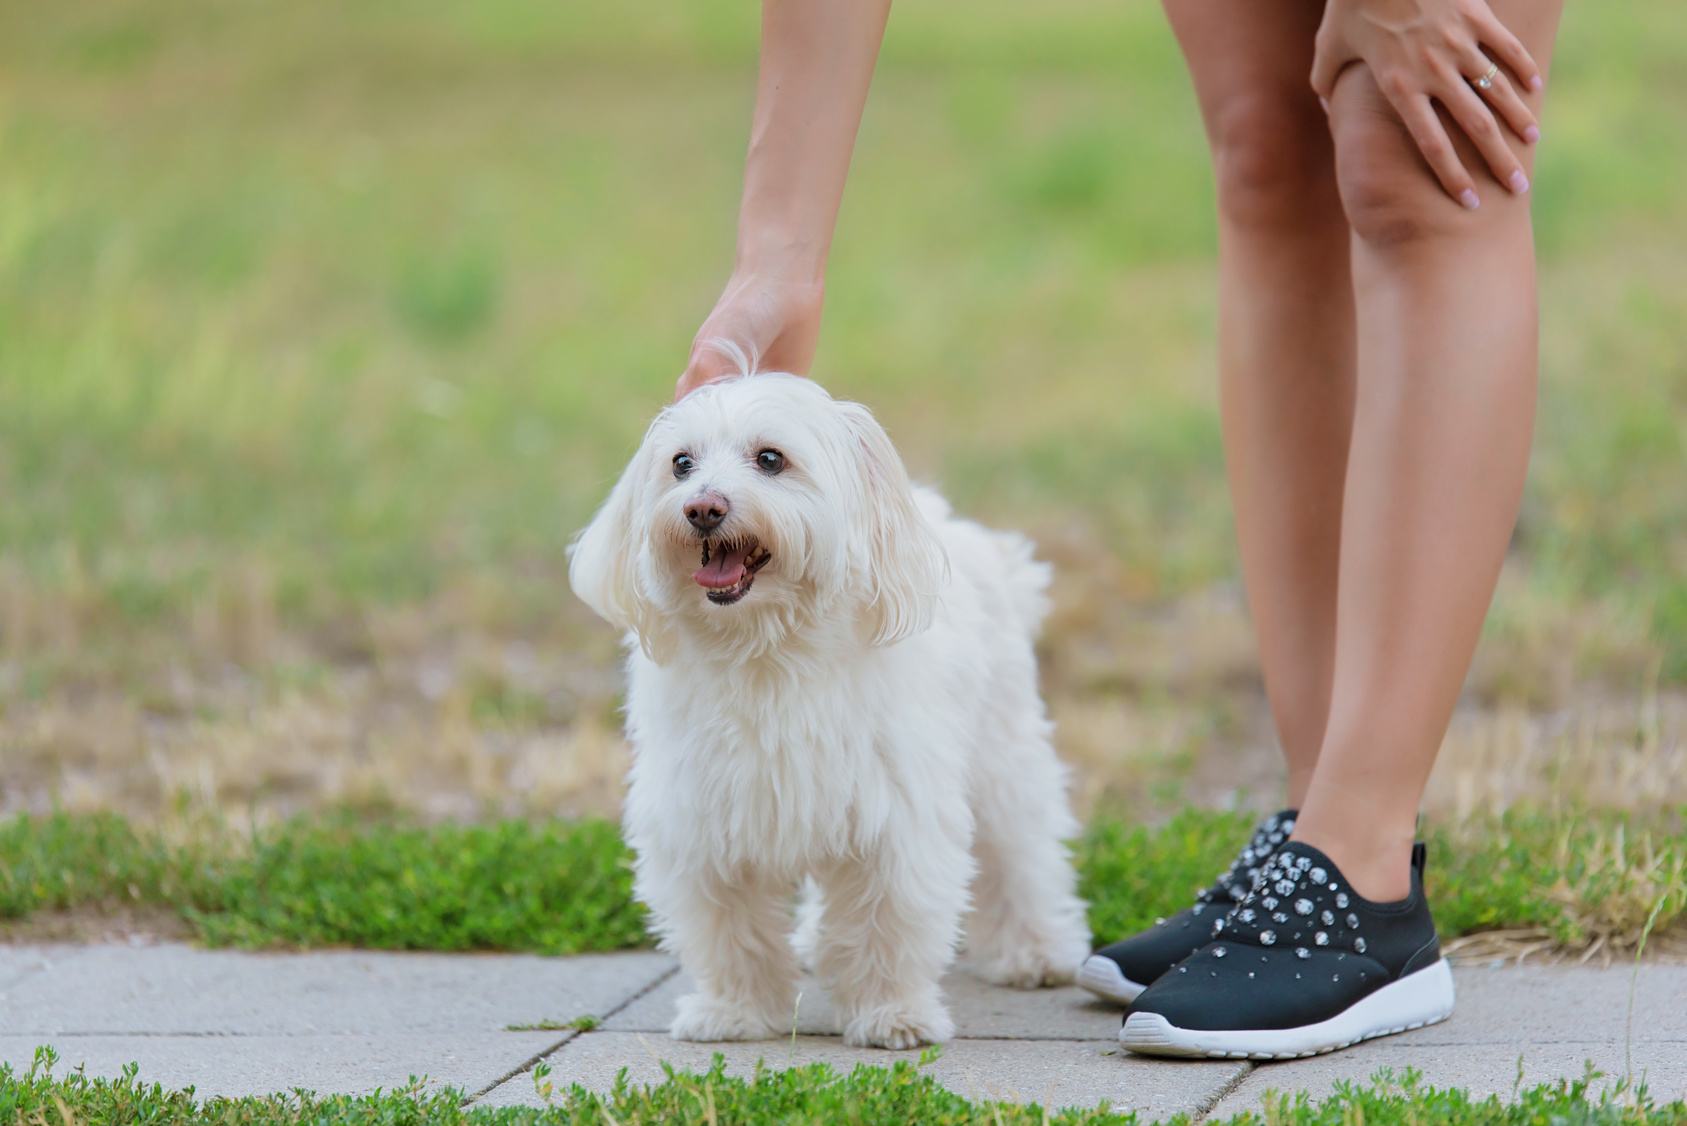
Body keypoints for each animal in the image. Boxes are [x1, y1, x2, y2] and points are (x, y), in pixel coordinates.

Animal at [570, 374, 1093, 1053]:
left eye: (771, 458)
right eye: (681, 464)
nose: (702, 508)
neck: (765, 647)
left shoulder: (895, 815)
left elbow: (886, 923)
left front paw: (891, 1014)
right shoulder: (706, 818)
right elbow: (730, 929)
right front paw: (735, 1012)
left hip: (1004, 757)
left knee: (1022, 855)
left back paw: (1036, 952)